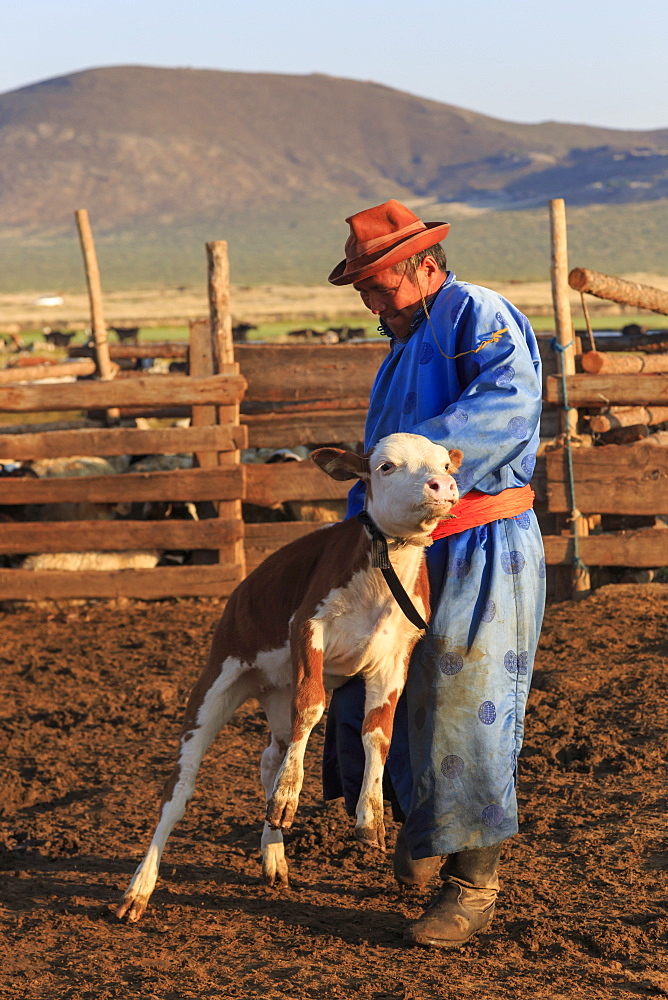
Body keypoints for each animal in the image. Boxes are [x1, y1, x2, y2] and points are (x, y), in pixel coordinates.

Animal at [115, 434, 462, 924]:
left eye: (444, 463)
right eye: (386, 466)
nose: (442, 485)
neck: (381, 571)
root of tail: (241, 591)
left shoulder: (395, 658)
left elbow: (377, 734)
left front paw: (370, 816)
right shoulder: (307, 630)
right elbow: (312, 707)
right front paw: (288, 799)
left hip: (278, 693)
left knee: (270, 757)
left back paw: (273, 854)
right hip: (218, 680)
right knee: (178, 788)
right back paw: (138, 889)